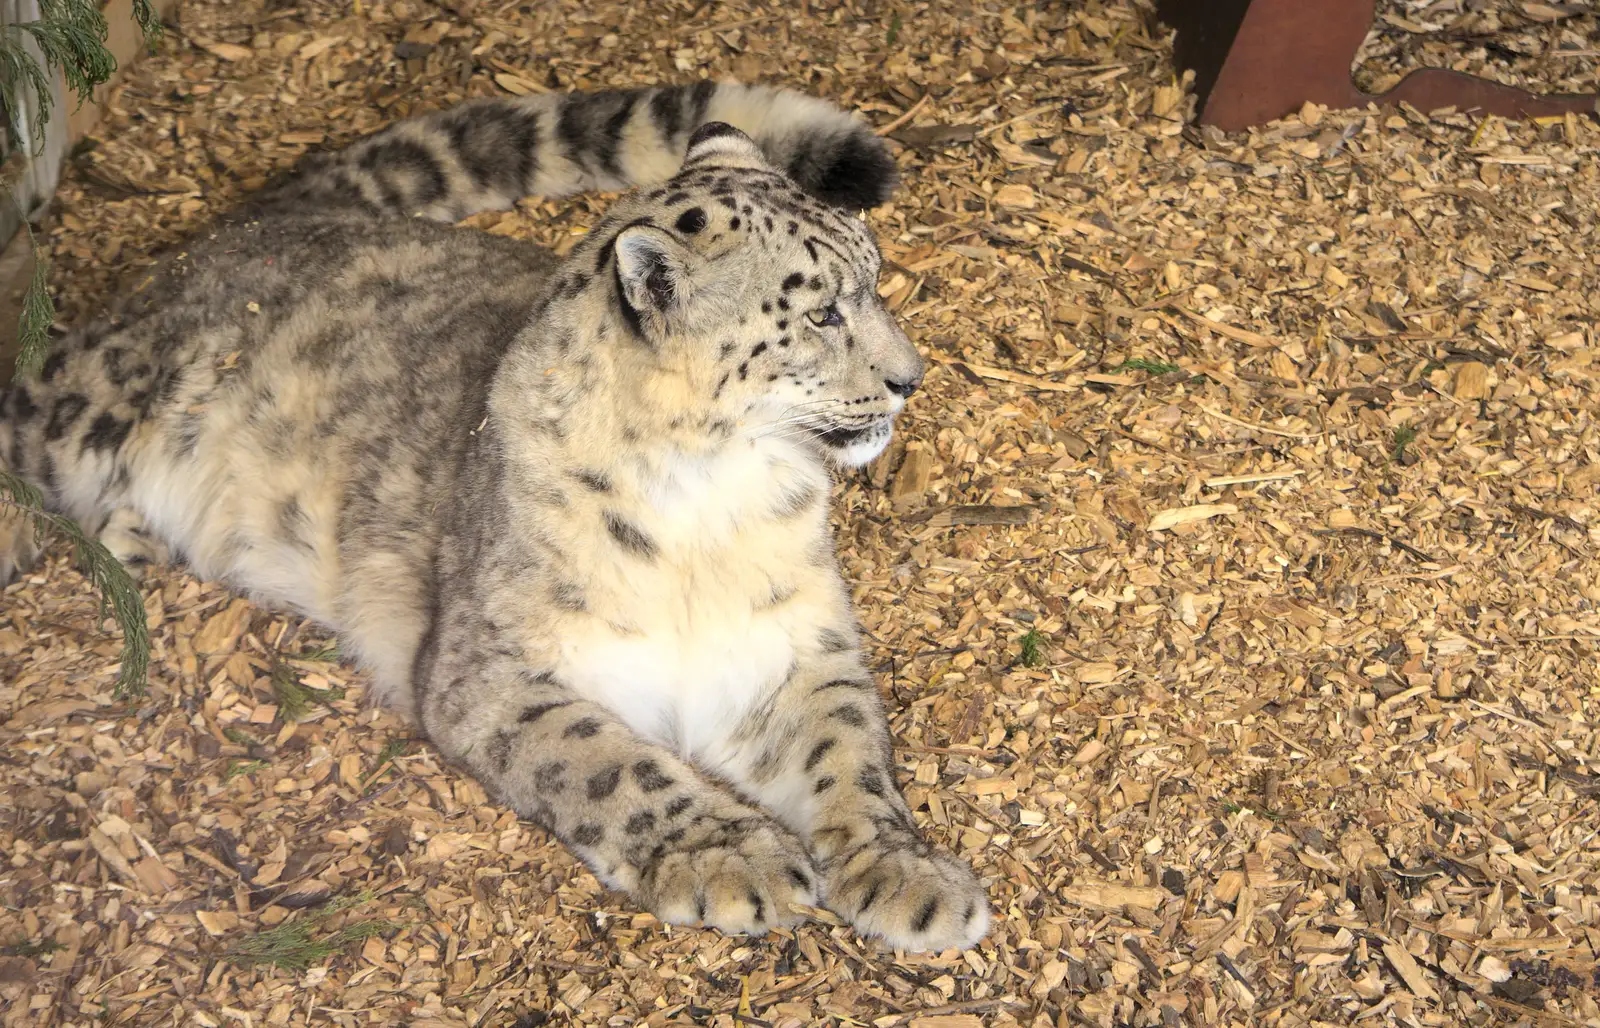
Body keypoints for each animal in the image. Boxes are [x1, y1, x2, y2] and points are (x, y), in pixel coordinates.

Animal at [0, 82, 992, 954]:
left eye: (875, 279)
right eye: (821, 313)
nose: (911, 378)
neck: (712, 503)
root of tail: (242, 224)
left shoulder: (794, 644)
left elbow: (849, 752)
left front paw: (910, 875)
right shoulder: (494, 671)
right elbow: (612, 761)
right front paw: (734, 855)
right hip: (86, 410)